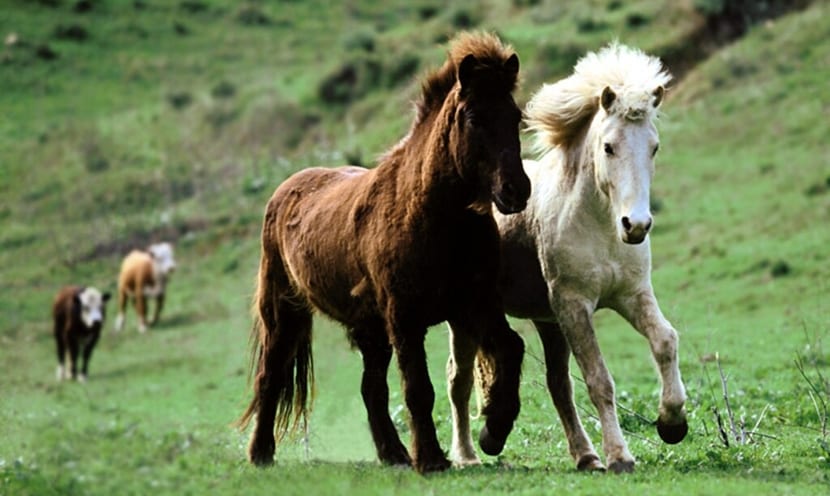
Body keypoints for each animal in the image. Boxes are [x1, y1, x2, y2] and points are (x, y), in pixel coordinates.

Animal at [237, 32, 530, 474]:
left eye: (515, 116)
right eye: (474, 118)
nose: (516, 190)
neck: (432, 215)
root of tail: (286, 189)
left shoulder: (475, 305)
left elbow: (511, 349)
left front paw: (493, 431)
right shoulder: (405, 317)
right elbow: (418, 389)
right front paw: (432, 460)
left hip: (370, 330)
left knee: (370, 388)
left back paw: (393, 454)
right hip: (284, 314)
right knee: (270, 377)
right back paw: (261, 454)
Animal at [447, 42, 688, 473]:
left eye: (654, 147)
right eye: (608, 146)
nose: (636, 225)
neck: (600, 227)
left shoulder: (631, 295)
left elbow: (665, 340)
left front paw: (672, 423)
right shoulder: (576, 305)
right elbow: (599, 380)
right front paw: (620, 456)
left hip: (548, 322)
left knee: (557, 385)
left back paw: (585, 456)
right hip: (467, 319)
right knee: (458, 381)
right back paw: (469, 455)